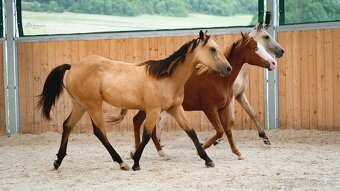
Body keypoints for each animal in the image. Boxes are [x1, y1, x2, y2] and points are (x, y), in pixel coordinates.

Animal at [36, 30, 231, 171]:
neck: (166, 78)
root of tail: (73, 67)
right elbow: (146, 135)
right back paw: (122, 163)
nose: (228, 69)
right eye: (212, 49)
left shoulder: (175, 108)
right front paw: (136, 162)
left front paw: (208, 159)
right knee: (99, 132)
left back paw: (58, 161)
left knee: (67, 125)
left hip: (80, 105)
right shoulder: (153, 110)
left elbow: (191, 132)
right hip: (93, 105)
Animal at [111, 32, 276, 160]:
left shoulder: (223, 108)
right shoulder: (209, 108)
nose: (273, 63)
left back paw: (153, 152)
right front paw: (203, 147)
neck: (217, 79)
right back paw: (144, 151)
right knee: (140, 123)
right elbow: (220, 131)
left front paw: (237, 152)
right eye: (255, 48)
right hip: (152, 108)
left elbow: (228, 130)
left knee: (139, 122)